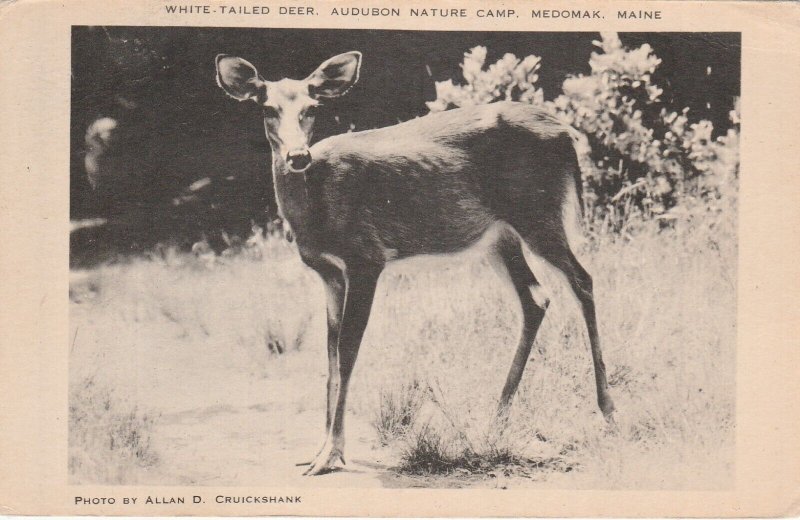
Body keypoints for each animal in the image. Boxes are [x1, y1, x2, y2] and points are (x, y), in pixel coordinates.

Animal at [216, 51, 616, 476]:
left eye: (312, 108)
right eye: (267, 108)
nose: (297, 156)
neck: (315, 208)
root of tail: (567, 133)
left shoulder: (366, 257)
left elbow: (347, 351)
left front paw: (332, 454)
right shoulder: (329, 273)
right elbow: (330, 354)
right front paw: (319, 450)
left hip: (538, 213)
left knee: (582, 280)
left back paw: (607, 410)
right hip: (499, 236)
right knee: (535, 298)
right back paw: (496, 419)